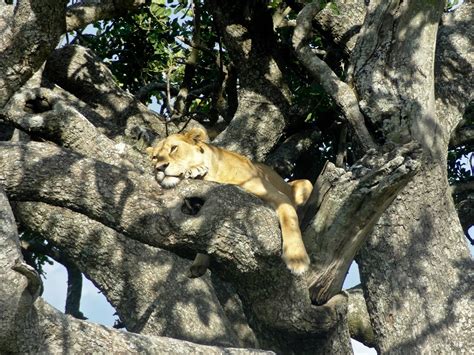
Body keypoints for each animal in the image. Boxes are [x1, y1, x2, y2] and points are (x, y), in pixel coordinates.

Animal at [146, 128, 312, 276]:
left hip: (306, 183)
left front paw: (297, 260)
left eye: (174, 148)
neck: (214, 174)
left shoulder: (278, 196)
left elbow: (290, 221)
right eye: (154, 157)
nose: (159, 168)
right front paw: (199, 264)